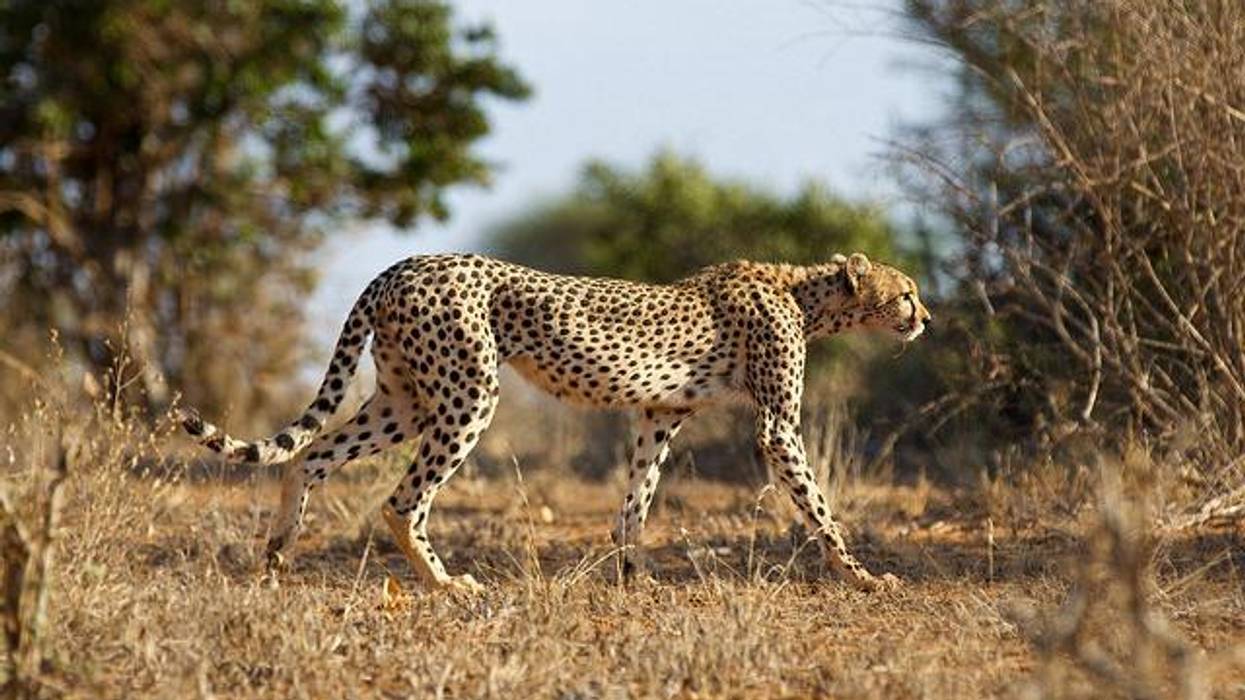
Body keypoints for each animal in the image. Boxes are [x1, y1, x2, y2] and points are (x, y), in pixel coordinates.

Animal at [178, 252, 930, 593]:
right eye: (905, 292)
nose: (924, 317)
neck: (803, 294)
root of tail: (402, 263)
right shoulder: (775, 425)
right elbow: (819, 507)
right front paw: (864, 576)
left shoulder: (659, 413)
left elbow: (635, 502)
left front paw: (633, 575)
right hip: (468, 393)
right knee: (401, 499)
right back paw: (446, 584)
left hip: (403, 399)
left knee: (310, 455)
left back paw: (277, 552)